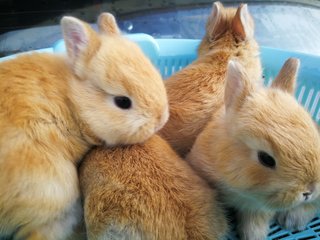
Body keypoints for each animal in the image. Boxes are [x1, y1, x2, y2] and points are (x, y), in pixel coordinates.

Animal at [186, 58, 320, 240]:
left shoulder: (259, 209)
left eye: (314, 134)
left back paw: (292, 220)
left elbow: (254, 227)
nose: (309, 191)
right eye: (266, 159)